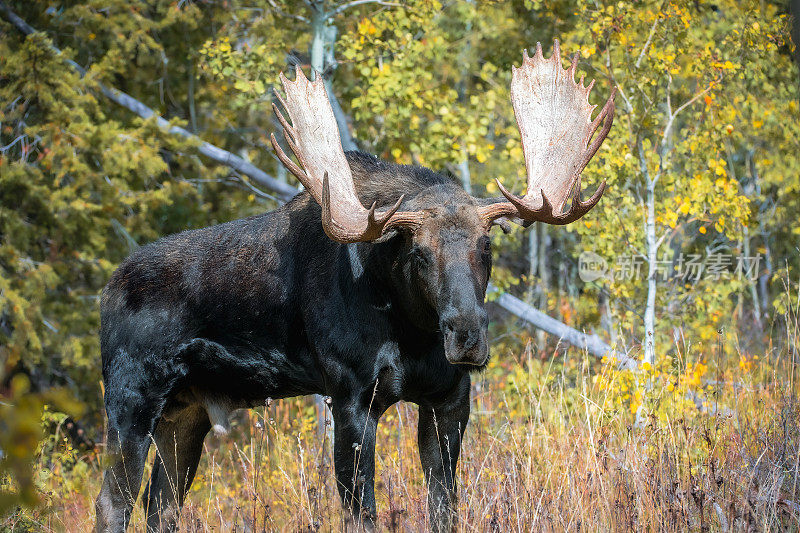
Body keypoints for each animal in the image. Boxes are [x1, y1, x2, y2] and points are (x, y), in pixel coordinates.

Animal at [97, 42, 616, 532]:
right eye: (418, 252)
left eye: (485, 246)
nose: (467, 334)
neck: (412, 332)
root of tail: (106, 291)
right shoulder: (350, 396)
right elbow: (360, 512)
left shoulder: (450, 397)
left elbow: (444, 508)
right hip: (131, 397)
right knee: (112, 502)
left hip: (187, 412)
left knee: (160, 507)